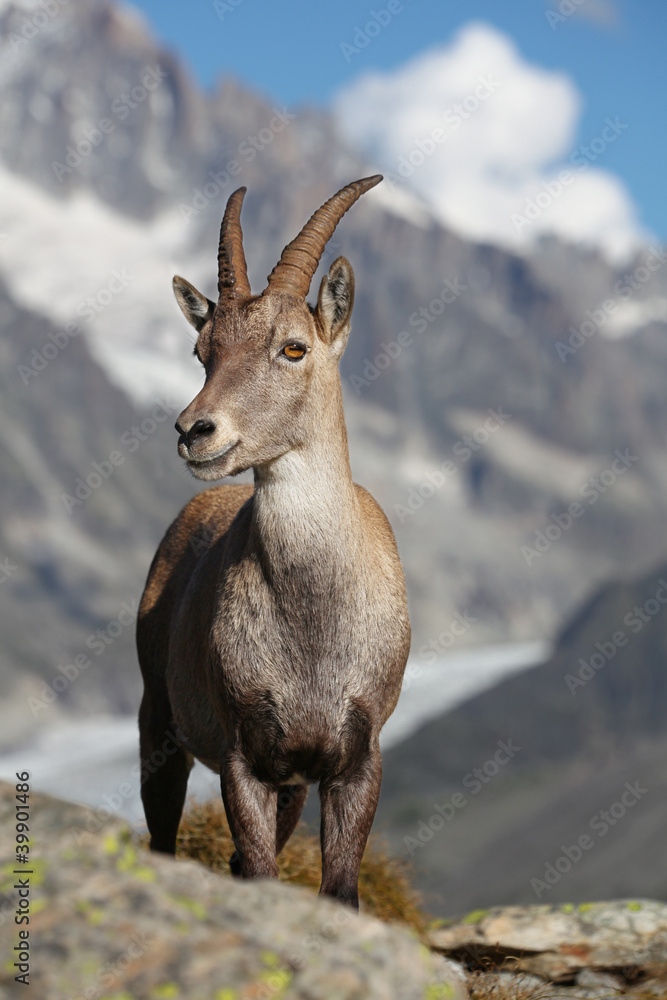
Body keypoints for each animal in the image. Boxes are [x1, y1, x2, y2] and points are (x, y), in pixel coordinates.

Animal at [136, 176, 411, 908]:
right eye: (202, 352)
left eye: (293, 347)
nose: (195, 431)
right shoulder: (245, 755)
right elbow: (258, 870)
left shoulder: (352, 758)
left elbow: (338, 890)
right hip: (158, 721)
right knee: (163, 838)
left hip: (292, 785)